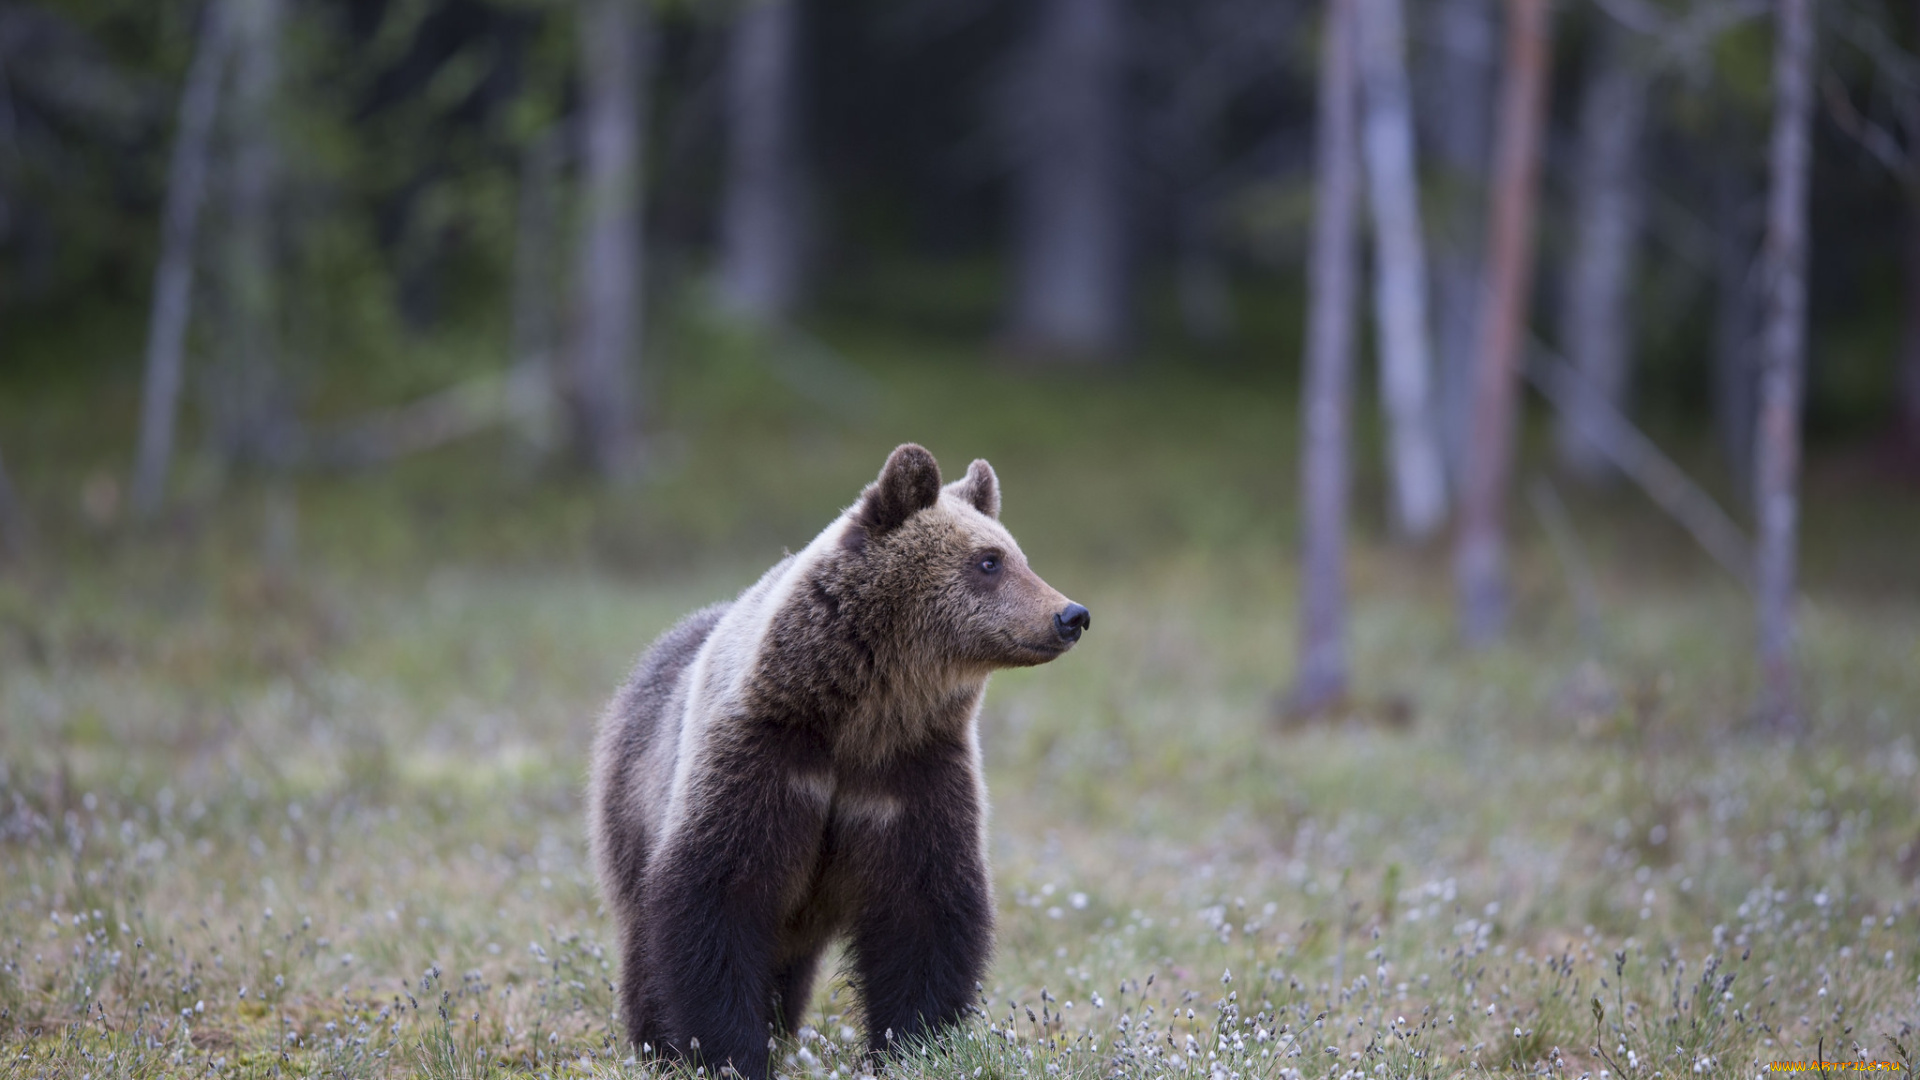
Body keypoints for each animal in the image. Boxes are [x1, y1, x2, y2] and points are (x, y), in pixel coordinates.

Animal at [583, 440, 1090, 1076]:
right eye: (989, 561)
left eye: (1017, 555)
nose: (1071, 615)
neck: (859, 716)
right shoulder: (763, 759)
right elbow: (716, 896)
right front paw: (727, 1050)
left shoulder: (911, 773)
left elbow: (926, 911)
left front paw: (913, 1043)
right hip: (632, 800)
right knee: (643, 939)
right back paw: (656, 1041)